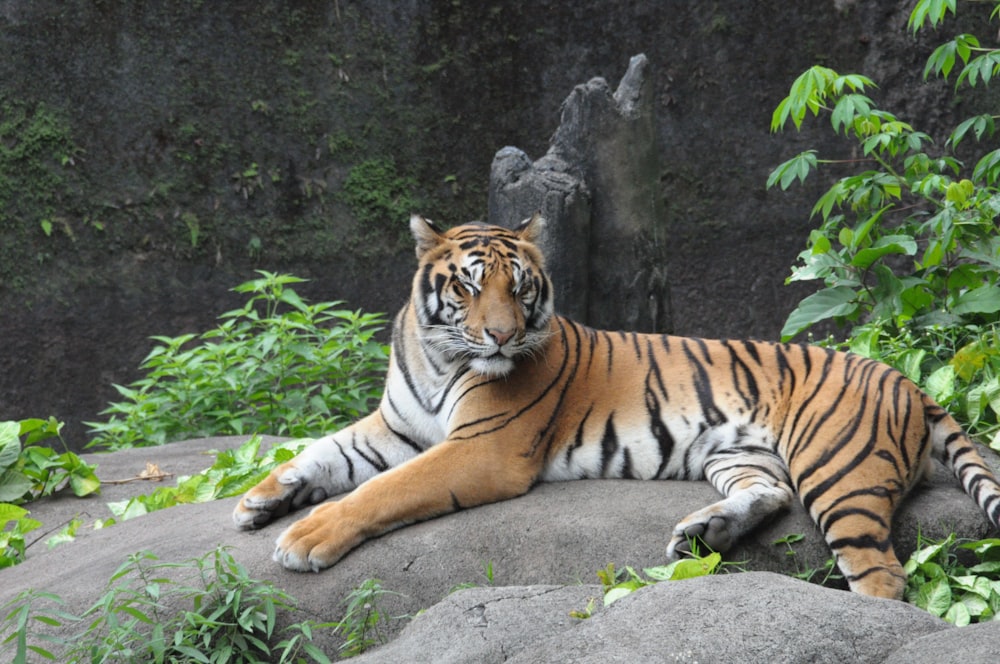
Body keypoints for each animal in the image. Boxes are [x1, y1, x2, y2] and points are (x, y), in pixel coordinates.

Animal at [236, 214, 1000, 600]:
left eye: (519, 288)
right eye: (470, 286)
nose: (501, 335)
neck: (440, 354)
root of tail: (910, 383)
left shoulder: (481, 446)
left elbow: (384, 490)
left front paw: (305, 538)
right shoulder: (394, 425)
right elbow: (321, 453)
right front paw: (257, 501)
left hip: (839, 472)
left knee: (882, 578)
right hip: (741, 451)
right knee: (769, 494)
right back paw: (702, 534)